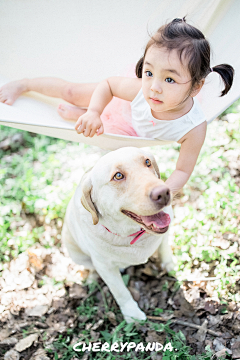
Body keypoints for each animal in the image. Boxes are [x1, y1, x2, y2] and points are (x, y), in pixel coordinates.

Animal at [61, 147, 174, 324]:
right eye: (118, 176)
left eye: (147, 162)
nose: (163, 193)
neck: (131, 233)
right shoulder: (105, 267)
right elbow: (121, 292)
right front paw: (132, 315)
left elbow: (164, 249)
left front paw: (169, 266)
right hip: (74, 251)